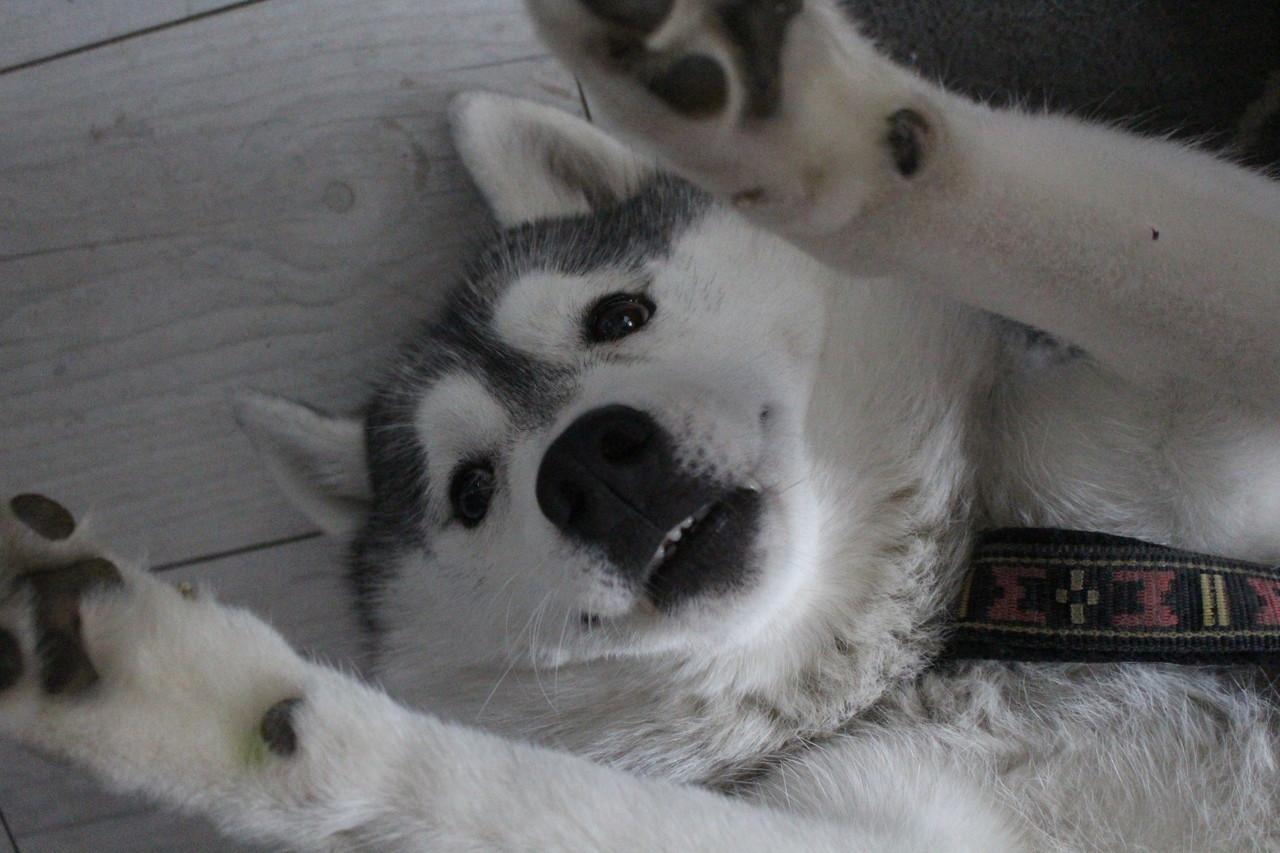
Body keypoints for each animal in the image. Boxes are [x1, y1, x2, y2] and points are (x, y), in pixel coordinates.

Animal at [4, 0, 1280, 849]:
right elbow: (488, 786)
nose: (591, 467)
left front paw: (816, 128)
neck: (929, 641)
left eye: (616, 313)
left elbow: (1078, 238)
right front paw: (202, 707)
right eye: (471, 490)